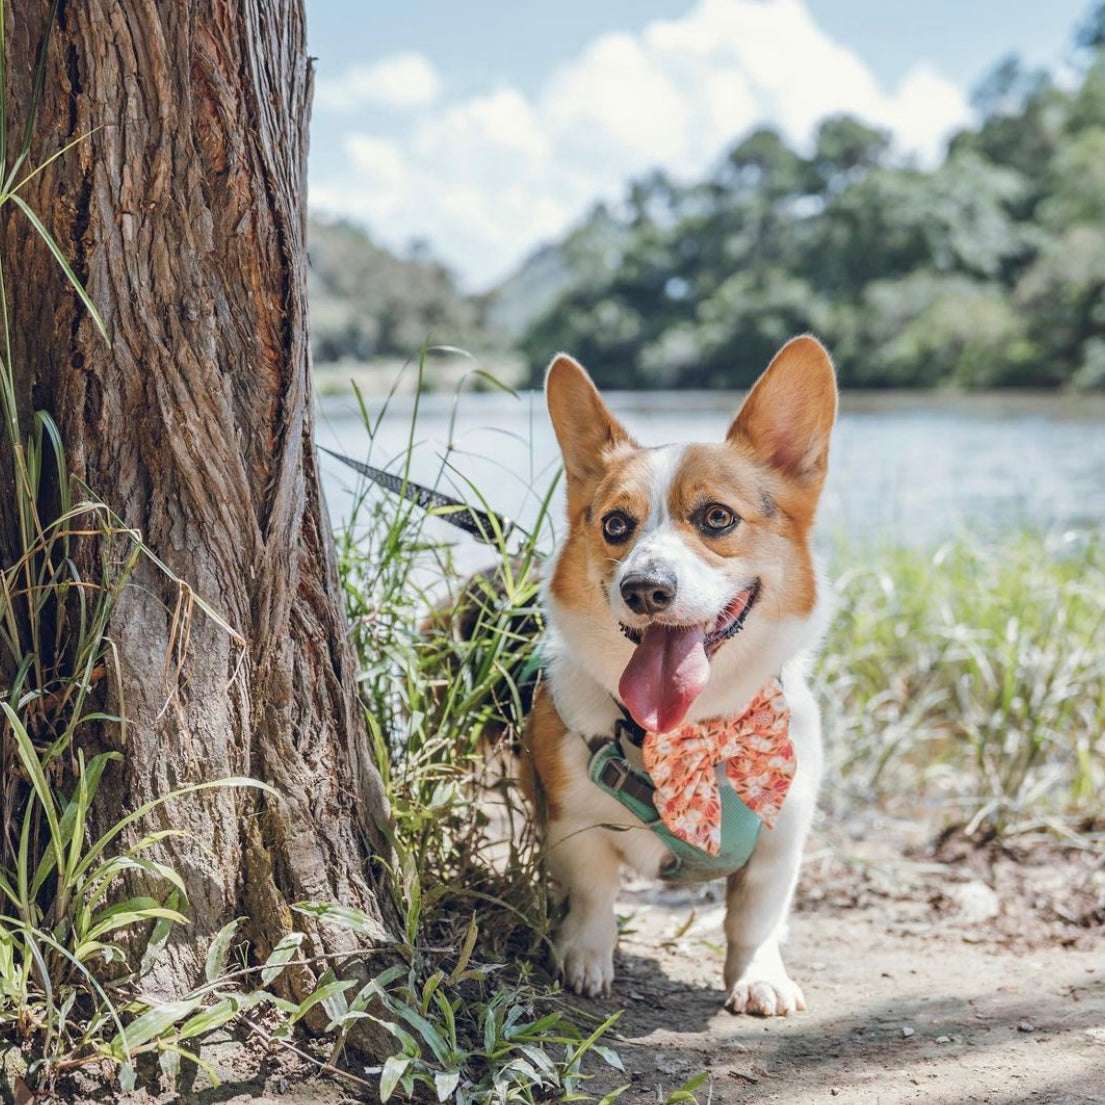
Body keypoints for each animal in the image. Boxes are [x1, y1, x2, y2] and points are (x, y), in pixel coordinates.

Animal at [525, 335, 835, 1016]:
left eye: (717, 518)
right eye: (615, 525)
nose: (645, 588)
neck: (694, 729)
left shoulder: (782, 837)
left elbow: (755, 918)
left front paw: (759, 977)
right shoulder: (571, 821)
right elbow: (593, 893)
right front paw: (585, 958)